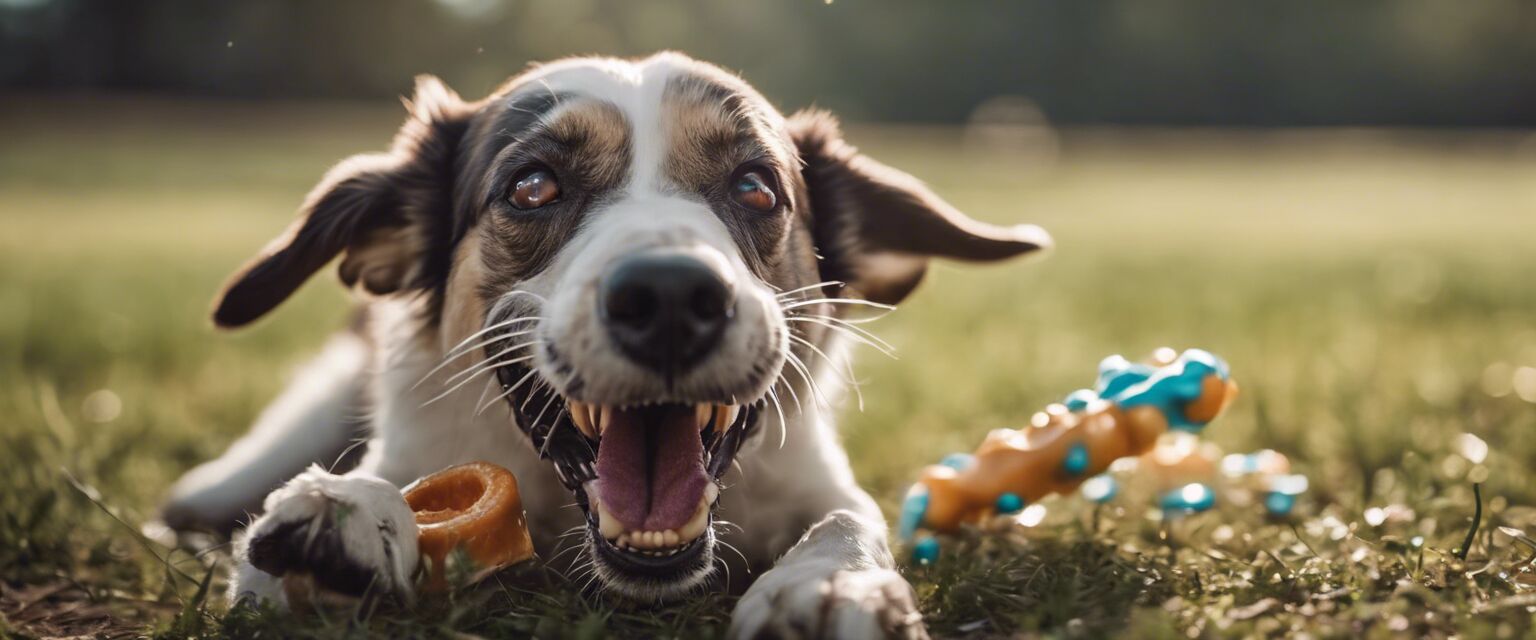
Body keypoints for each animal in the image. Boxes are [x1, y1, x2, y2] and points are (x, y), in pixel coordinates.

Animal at [162, 52, 1050, 635]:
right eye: (532, 186)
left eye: (757, 187)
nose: (669, 297)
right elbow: (356, 495)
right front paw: (345, 512)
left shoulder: (815, 479)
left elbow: (850, 517)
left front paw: (834, 587)